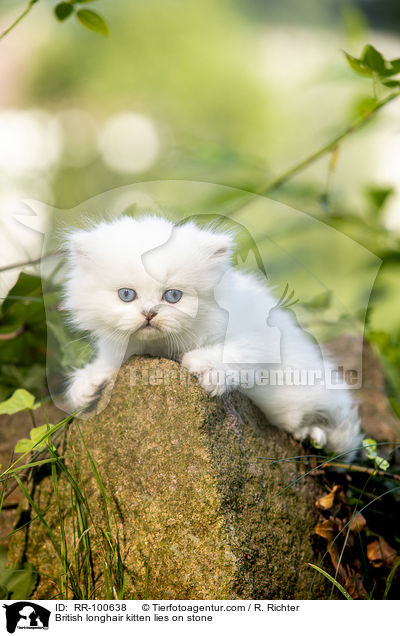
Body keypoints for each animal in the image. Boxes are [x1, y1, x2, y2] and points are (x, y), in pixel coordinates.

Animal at [64, 215, 360, 458]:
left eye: (173, 296)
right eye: (127, 295)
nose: (149, 314)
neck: (160, 346)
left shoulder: (261, 336)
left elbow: (235, 352)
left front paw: (205, 368)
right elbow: (109, 361)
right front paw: (88, 384)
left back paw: (312, 433)